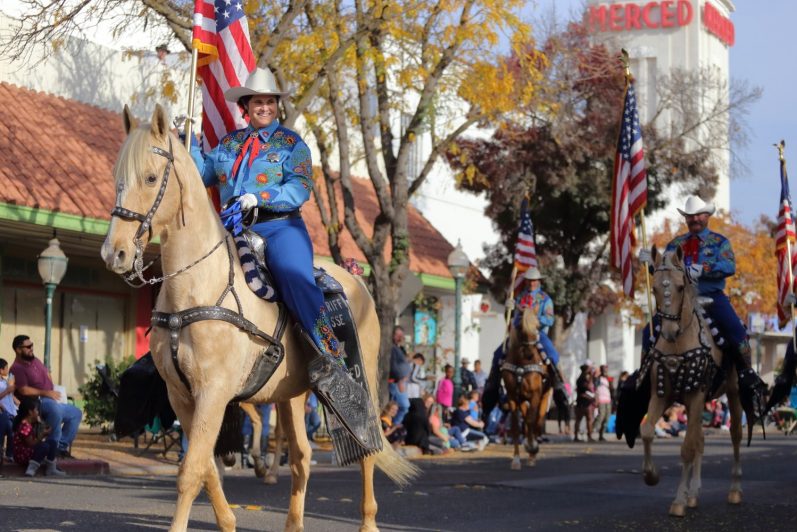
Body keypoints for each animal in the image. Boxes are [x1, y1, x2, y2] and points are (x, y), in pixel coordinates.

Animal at [101, 105, 416, 532]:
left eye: (151, 177)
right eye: (117, 178)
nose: (113, 252)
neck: (196, 287)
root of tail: (358, 280)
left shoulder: (214, 392)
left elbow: (190, 472)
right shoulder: (182, 396)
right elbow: (206, 468)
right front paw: (229, 521)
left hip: (360, 379)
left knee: (366, 446)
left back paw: (368, 522)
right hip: (291, 395)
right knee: (301, 457)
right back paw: (293, 522)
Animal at [500, 308, 552, 470]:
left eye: (537, 327)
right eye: (521, 327)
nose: (530, 354)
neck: (521, 363)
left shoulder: (535, 395)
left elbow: (531, 420)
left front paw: (533, 448)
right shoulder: (512, 397)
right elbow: (516, 426)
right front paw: (516, 460)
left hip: (544, 395)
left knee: (537, 419)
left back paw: (532, 452)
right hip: (522, 399)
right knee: (526, 418)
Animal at [640, 247, 748, 516]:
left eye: (680, 287)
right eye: (654, 288)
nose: (668, 331)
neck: (678, 344)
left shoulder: (696, 395)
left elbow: (687, 448)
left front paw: (678, 500)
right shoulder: (662, 395)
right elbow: (646, 432)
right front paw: (652, 476)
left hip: (732, 392)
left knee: (735, 434)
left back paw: (734, 490)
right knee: (700, 438)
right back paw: (694, 494)